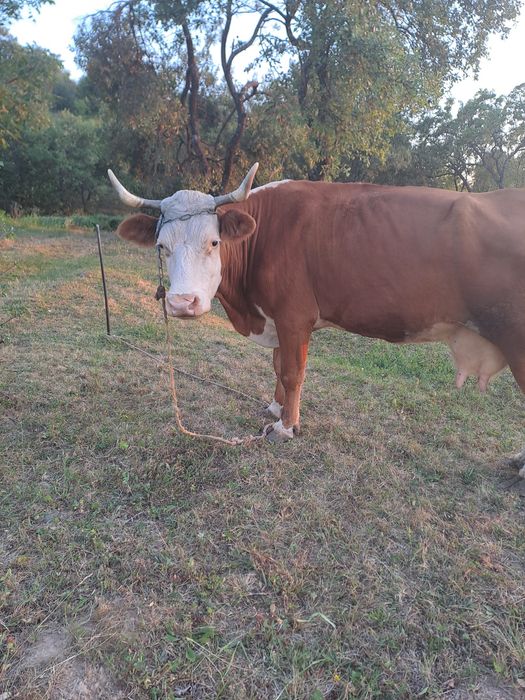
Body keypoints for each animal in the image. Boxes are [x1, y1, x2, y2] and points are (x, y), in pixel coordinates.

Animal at [108, 164, 525, 476]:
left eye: (214, 243)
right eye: (162, 246)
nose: (182, 302)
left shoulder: (294, 316)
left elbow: (293, 371)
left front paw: (285, 427)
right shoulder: (277, 317)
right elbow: (278, 365)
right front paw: (275, 408)